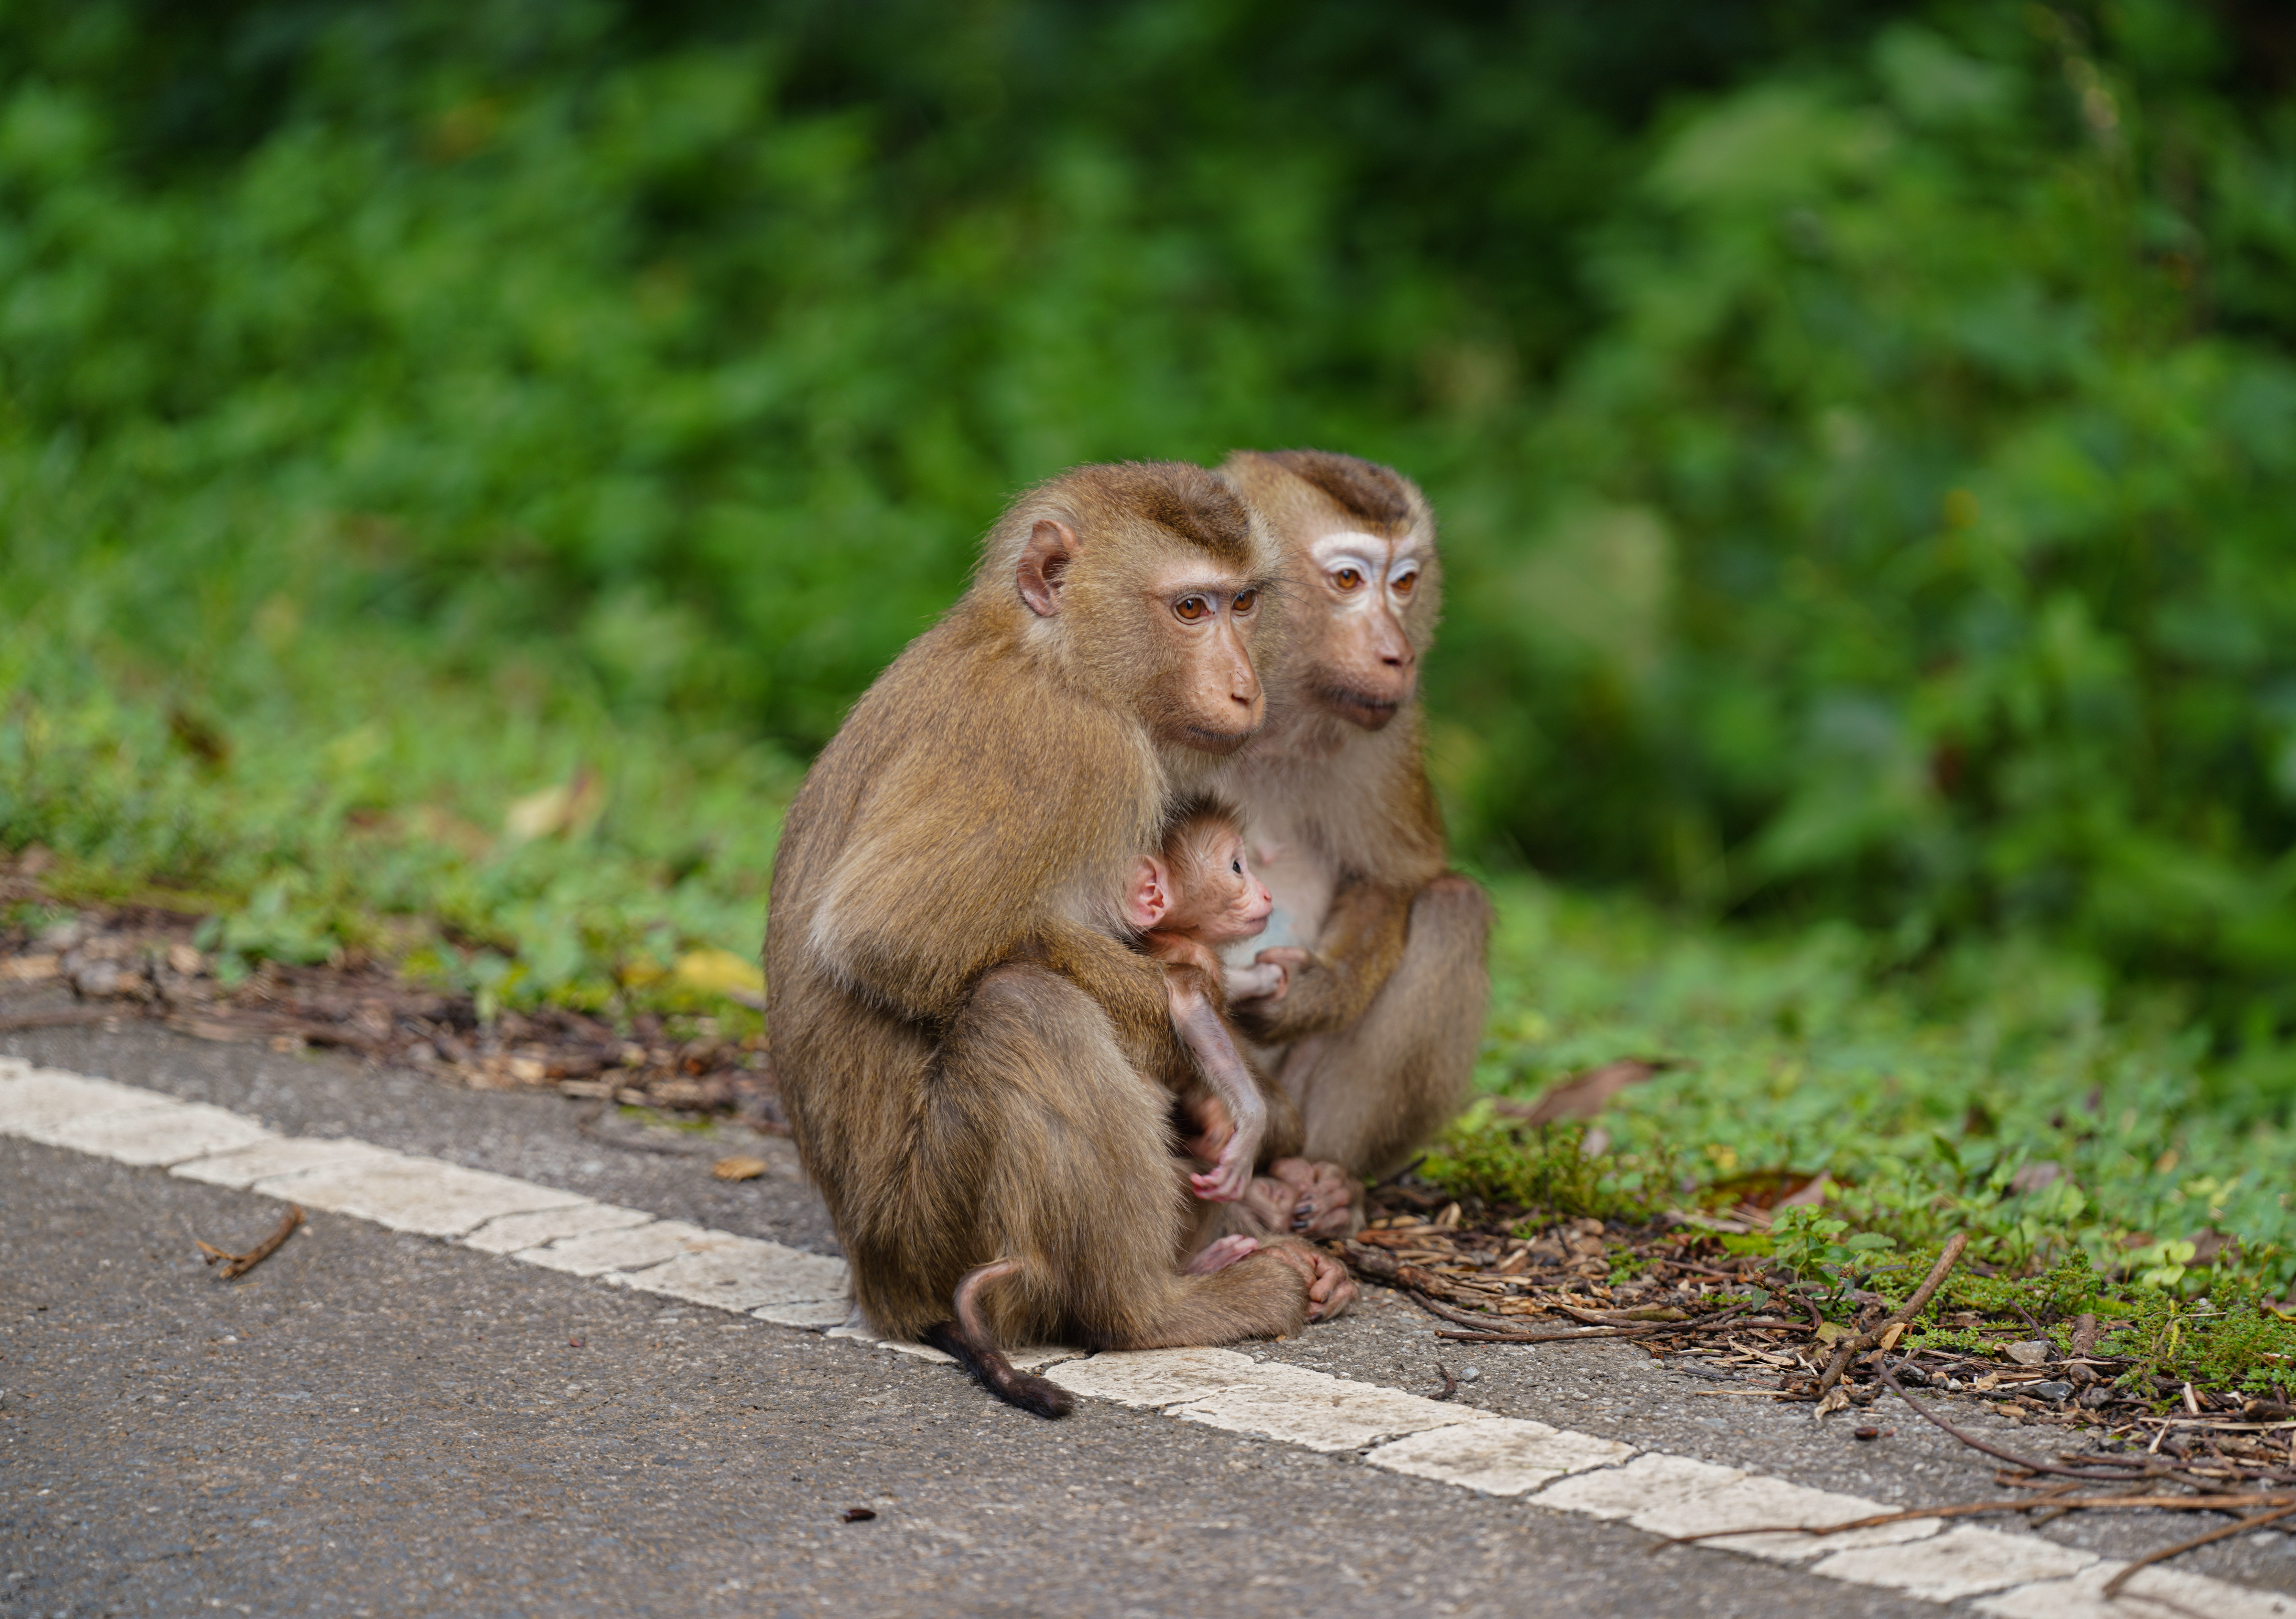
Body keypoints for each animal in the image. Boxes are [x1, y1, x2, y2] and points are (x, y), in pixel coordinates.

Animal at [1116, 790, 1304, 1222]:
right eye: (1236, 866)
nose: (1267, 892)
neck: (1174, 932)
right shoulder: (1185, 957)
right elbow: (1192, 1010)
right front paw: (1250, 1124)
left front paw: (1263, 977)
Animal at [1212, 441, 1497, 1222]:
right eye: (1347, 579)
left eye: (1404, 583)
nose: (1398, 653)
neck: (1272, 713)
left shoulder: (1388, 733)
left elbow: (1390, 881)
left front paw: (1313, 994)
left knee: (1452, 907)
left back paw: (1327, 1178)